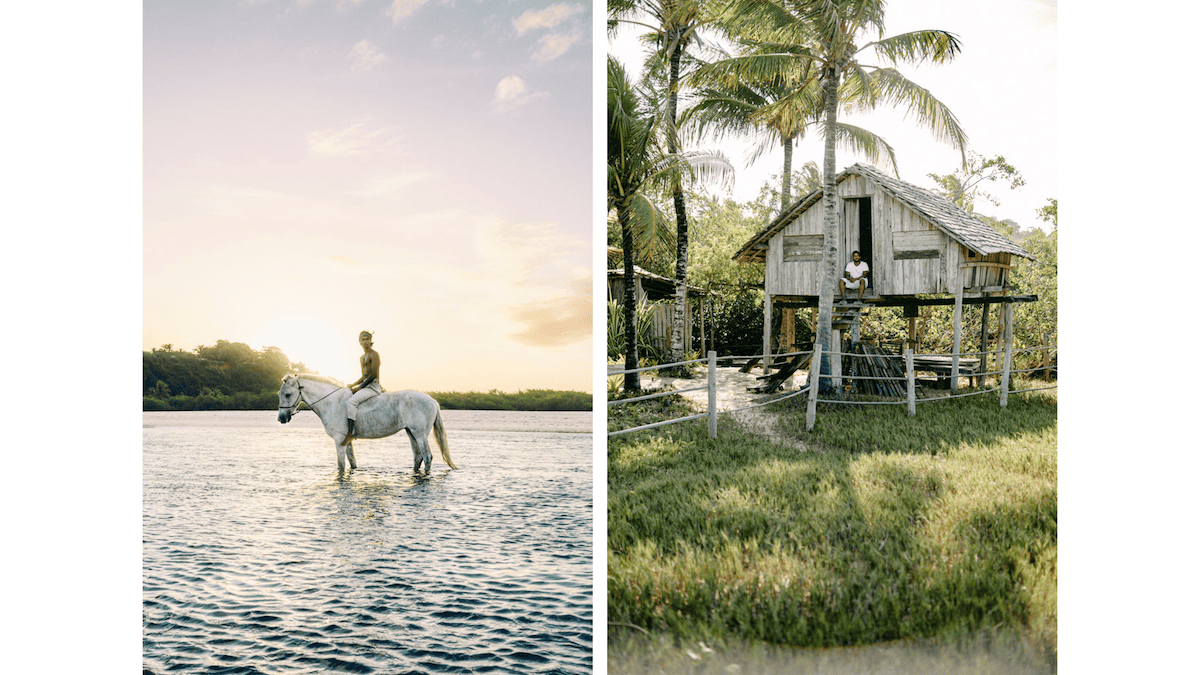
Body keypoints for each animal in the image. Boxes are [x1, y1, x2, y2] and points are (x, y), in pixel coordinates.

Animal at [277, 372, 458, 473]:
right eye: (280, 393)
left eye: (287, 394)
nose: (281, 418)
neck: (332, 402)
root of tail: (432, 400)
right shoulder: (346, 441)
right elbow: (352, 463)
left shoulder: (338, 441)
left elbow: (341, 466)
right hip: (411, 433)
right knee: (418, 457)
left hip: (420, 434)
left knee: (427, 457)